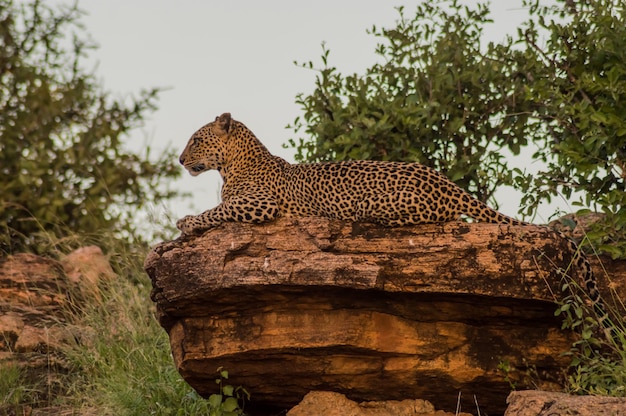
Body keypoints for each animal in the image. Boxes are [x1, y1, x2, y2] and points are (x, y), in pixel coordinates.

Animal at [178, 112, 608, 330]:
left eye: (196, 140)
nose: (181, 160)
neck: (232, 165)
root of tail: (445, 181)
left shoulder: (261, 205)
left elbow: (219, 210)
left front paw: (188, 222)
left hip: (382, 204)